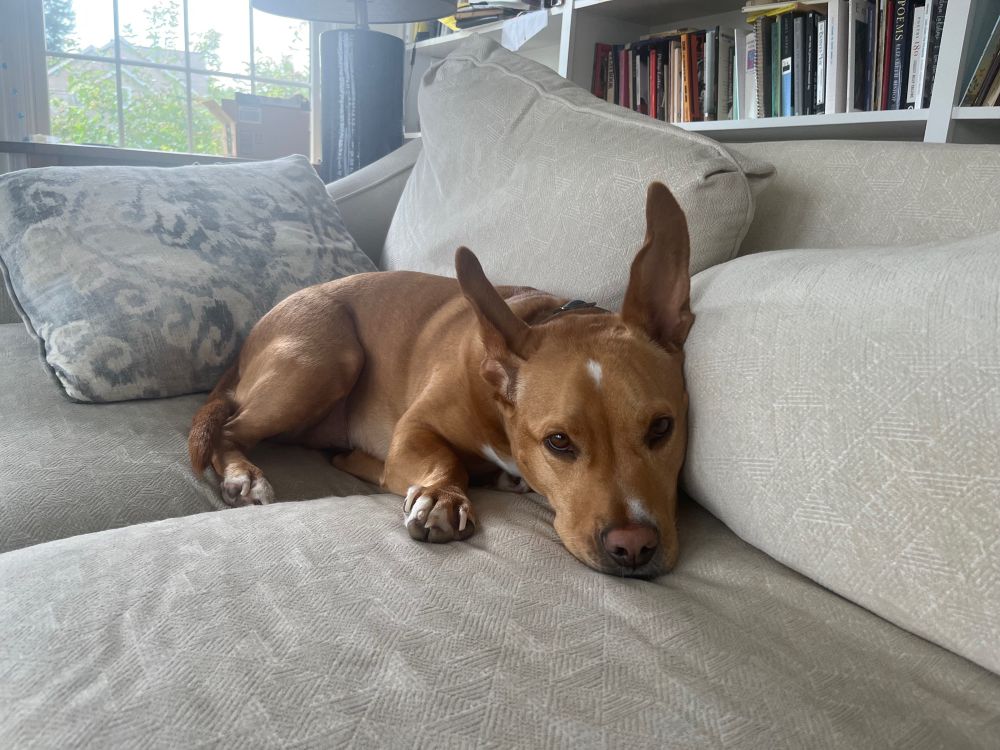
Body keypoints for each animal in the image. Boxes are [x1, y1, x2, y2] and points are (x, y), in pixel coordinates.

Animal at [189, 182, 693, 578]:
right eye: (559, 442)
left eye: (662, 428)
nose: (633, 546)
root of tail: (253, 336)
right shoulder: (415, 429)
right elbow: (444, 460)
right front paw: (442, 497)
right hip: (327, 361)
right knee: (230, 430)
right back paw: (246, 475)